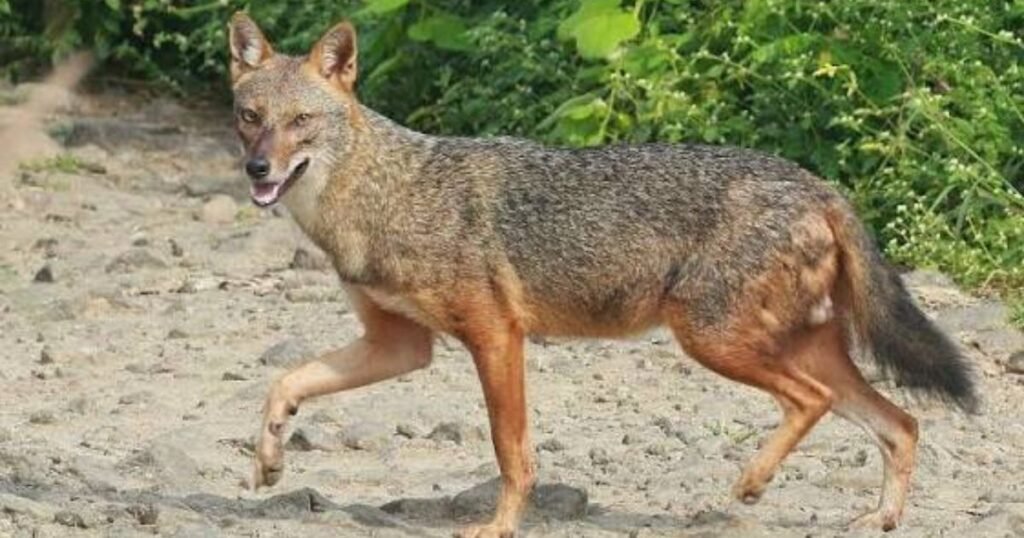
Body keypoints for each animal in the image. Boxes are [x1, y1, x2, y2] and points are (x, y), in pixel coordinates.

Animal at [227, 12, 977, 537]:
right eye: (250, 117)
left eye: (302, 121)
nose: (257, 170)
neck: (384, 193)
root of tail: (819, 184)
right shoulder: (400, 346)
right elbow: (285, 382)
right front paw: (268, 458)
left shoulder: (495, 336)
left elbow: (511, 450)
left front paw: (499, 525)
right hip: (791, 347)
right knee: (902, 422)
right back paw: (878, 518)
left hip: (714, 341)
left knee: (813, 402)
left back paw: (751, 484)